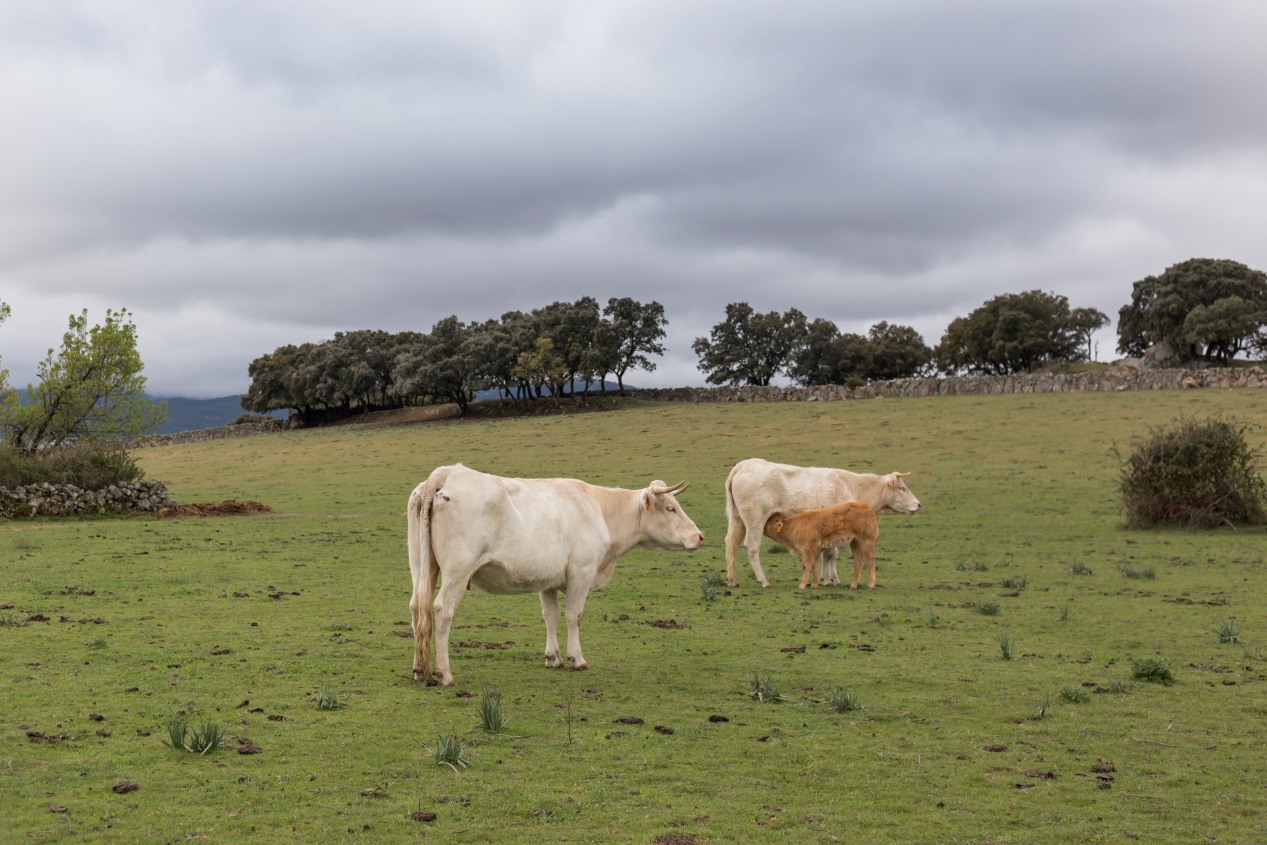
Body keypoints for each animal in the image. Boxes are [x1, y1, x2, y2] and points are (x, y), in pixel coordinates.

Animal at [405, 463, 704, 689]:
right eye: (670, 508)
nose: (699, 536)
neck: (598, 508)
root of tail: (446, 473)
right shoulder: (582, 571)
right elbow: (574, 615)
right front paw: (576, 658)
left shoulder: (546, 578)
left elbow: (551, 615)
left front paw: (553, 657)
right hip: (458, 569)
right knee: (442, 610)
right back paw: (444, 674)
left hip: (421, 566)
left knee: (417, 608)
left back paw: (419, 669)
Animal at [724, 463, 922, 587]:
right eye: (902, 488)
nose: (918, 504)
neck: (854, 487)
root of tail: (742, 466)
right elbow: (831, 554)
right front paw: (829, 579)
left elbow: (829, 555)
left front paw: (829, 578)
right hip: (755, 519)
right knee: (751, 546)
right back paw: (763, 581)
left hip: (738, 519)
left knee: (731, 544)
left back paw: (733, 580)